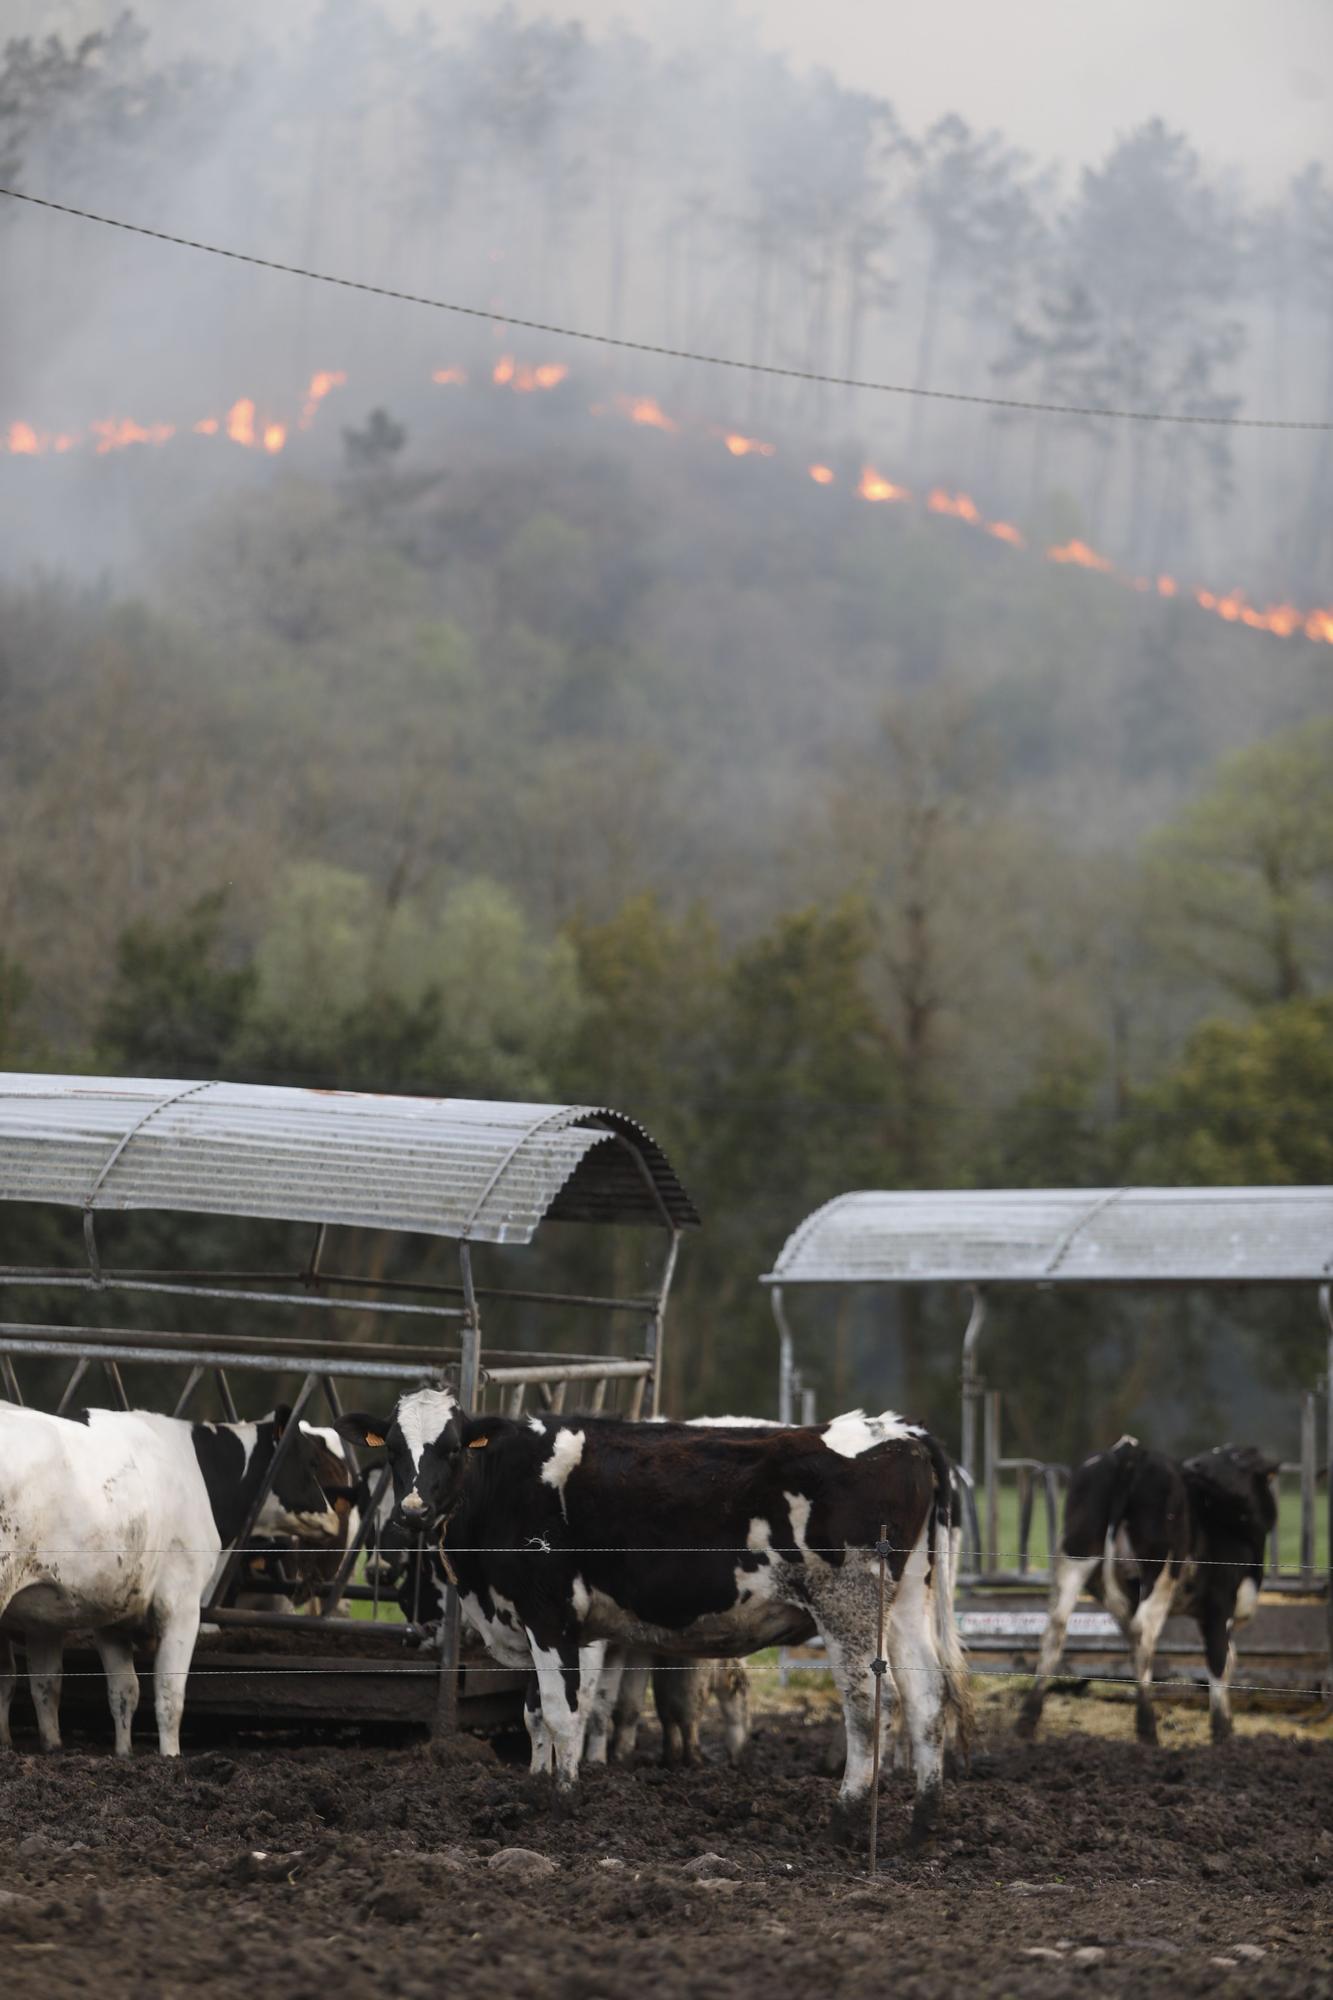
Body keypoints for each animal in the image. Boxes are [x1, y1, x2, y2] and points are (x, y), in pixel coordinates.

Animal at [2, 1400, 342, 1760]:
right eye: (311, 1461)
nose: (333, 1519)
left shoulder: (111, 1608)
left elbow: (121, 1690)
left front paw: (123, 1754)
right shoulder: (181, 1603)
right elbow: (170, 1693)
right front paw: (170, 1757)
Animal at [340, 1392, 964, 1832]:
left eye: (450, 1448)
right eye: (393, 1449)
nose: (413, 1510)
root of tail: (899, 1432)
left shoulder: (555, 1618)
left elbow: (566, 1713)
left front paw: (563, 1803)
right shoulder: (541, 1624)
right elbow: (535, 1713)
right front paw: (536, 1791)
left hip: (848, 1606)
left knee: (870, 1706)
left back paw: (846, 1818)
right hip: (905, 1602)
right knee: (928, 1700)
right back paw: (923, 1823)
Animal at [1012, 1432, 1272, 1744]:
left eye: (1237, 1457)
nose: (1195, 1466)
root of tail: (1132, 1452)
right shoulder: (1219, 1604)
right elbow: (1220, 1660)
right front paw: (1222, 1731)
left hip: (1076, 1555)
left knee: (1056, 1629)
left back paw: (1027, 1719)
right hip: (1160, 1570)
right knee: (1143, 1633)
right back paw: (1147, 1729)